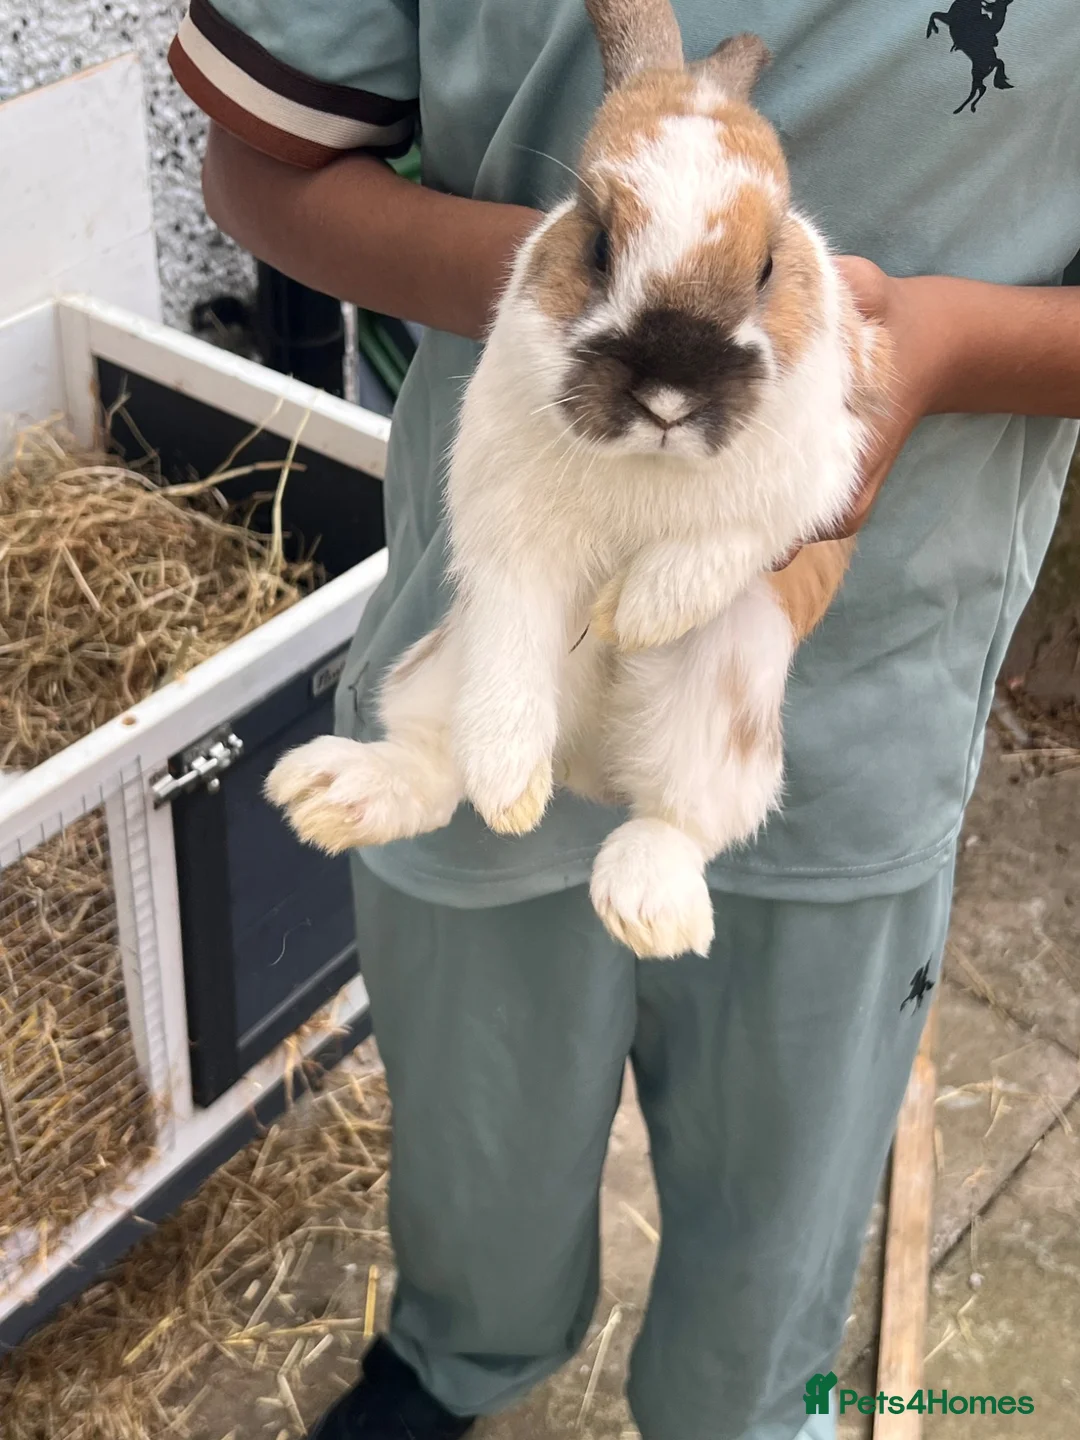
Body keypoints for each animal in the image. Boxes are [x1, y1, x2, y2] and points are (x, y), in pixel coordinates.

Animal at [266, 0, 892, 961]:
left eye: (766, 266)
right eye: (597, 245)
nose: (669, 397)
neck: (645, 460)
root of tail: (593, 767)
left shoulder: (816, 472)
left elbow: (716, 550)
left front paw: (636, 614)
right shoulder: (511, 549)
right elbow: (516, 654)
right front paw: (508, 792)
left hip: (725, 706)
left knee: (682, 821)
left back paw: (649, 909)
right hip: (443, 662)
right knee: (437, 761)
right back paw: (335, 793)